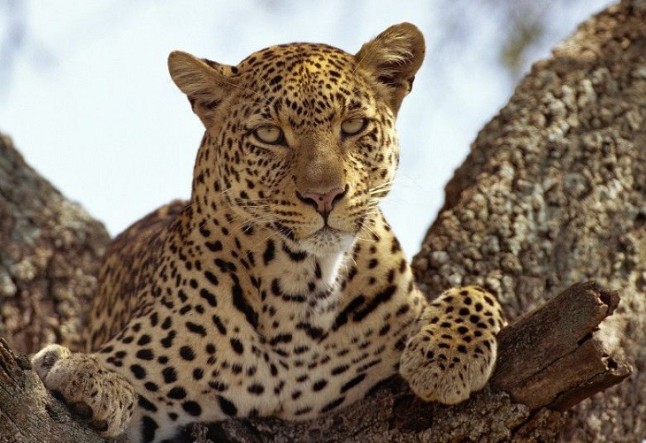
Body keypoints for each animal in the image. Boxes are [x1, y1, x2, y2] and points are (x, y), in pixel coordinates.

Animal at [31, 23, 505, 443]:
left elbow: (477, 291)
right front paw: (81, 373)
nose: (324, 195)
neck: (303, 288)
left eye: (352, 126)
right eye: (269, 134)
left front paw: (445, 359)